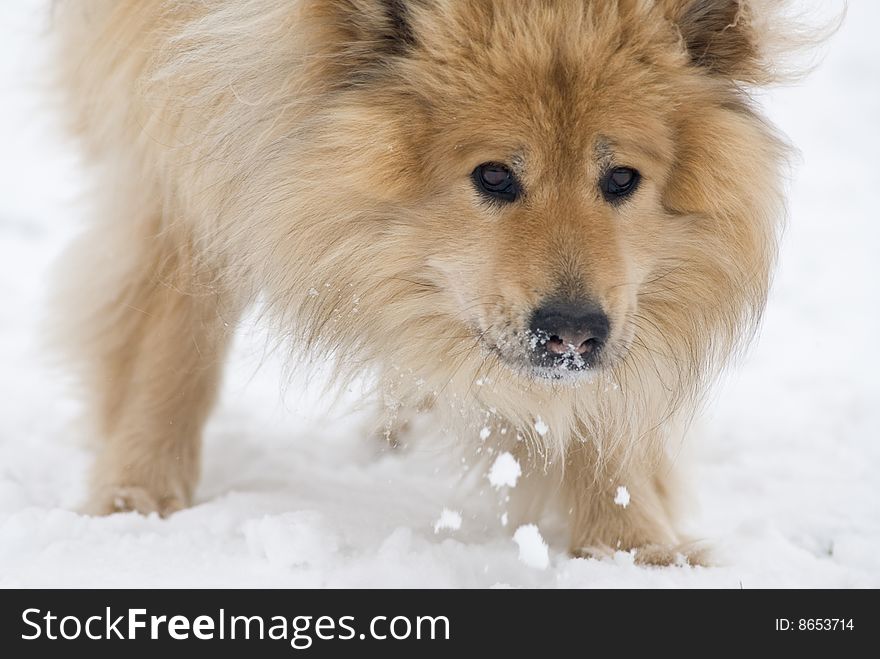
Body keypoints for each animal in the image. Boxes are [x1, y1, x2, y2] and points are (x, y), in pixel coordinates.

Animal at [51, 0, 812, 568]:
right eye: (494, 175)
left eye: (622, 178)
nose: (571, 331)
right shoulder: (182, 134)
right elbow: (171, 343)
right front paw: (138, 499)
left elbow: (600, 412)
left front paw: (632, 549)